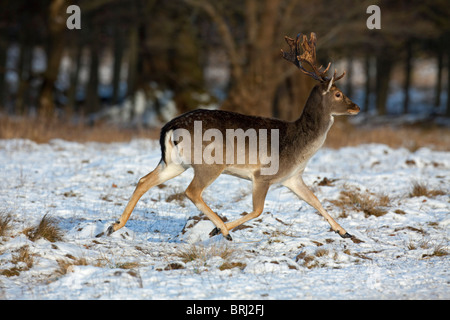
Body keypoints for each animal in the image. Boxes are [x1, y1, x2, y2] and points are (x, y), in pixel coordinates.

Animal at [102, 33, 358, 242]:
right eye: (338, 93)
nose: (355, 107)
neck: (299, 146)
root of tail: (171, 126)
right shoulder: (263, 175)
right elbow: (258, 210)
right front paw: (217, 230)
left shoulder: (292, 177)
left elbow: (315, 200)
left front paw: (344, 231)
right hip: (209, 164)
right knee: (191, 191)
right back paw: (223, 230)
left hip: (175, 162)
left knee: (144, 180)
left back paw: (115, 226)